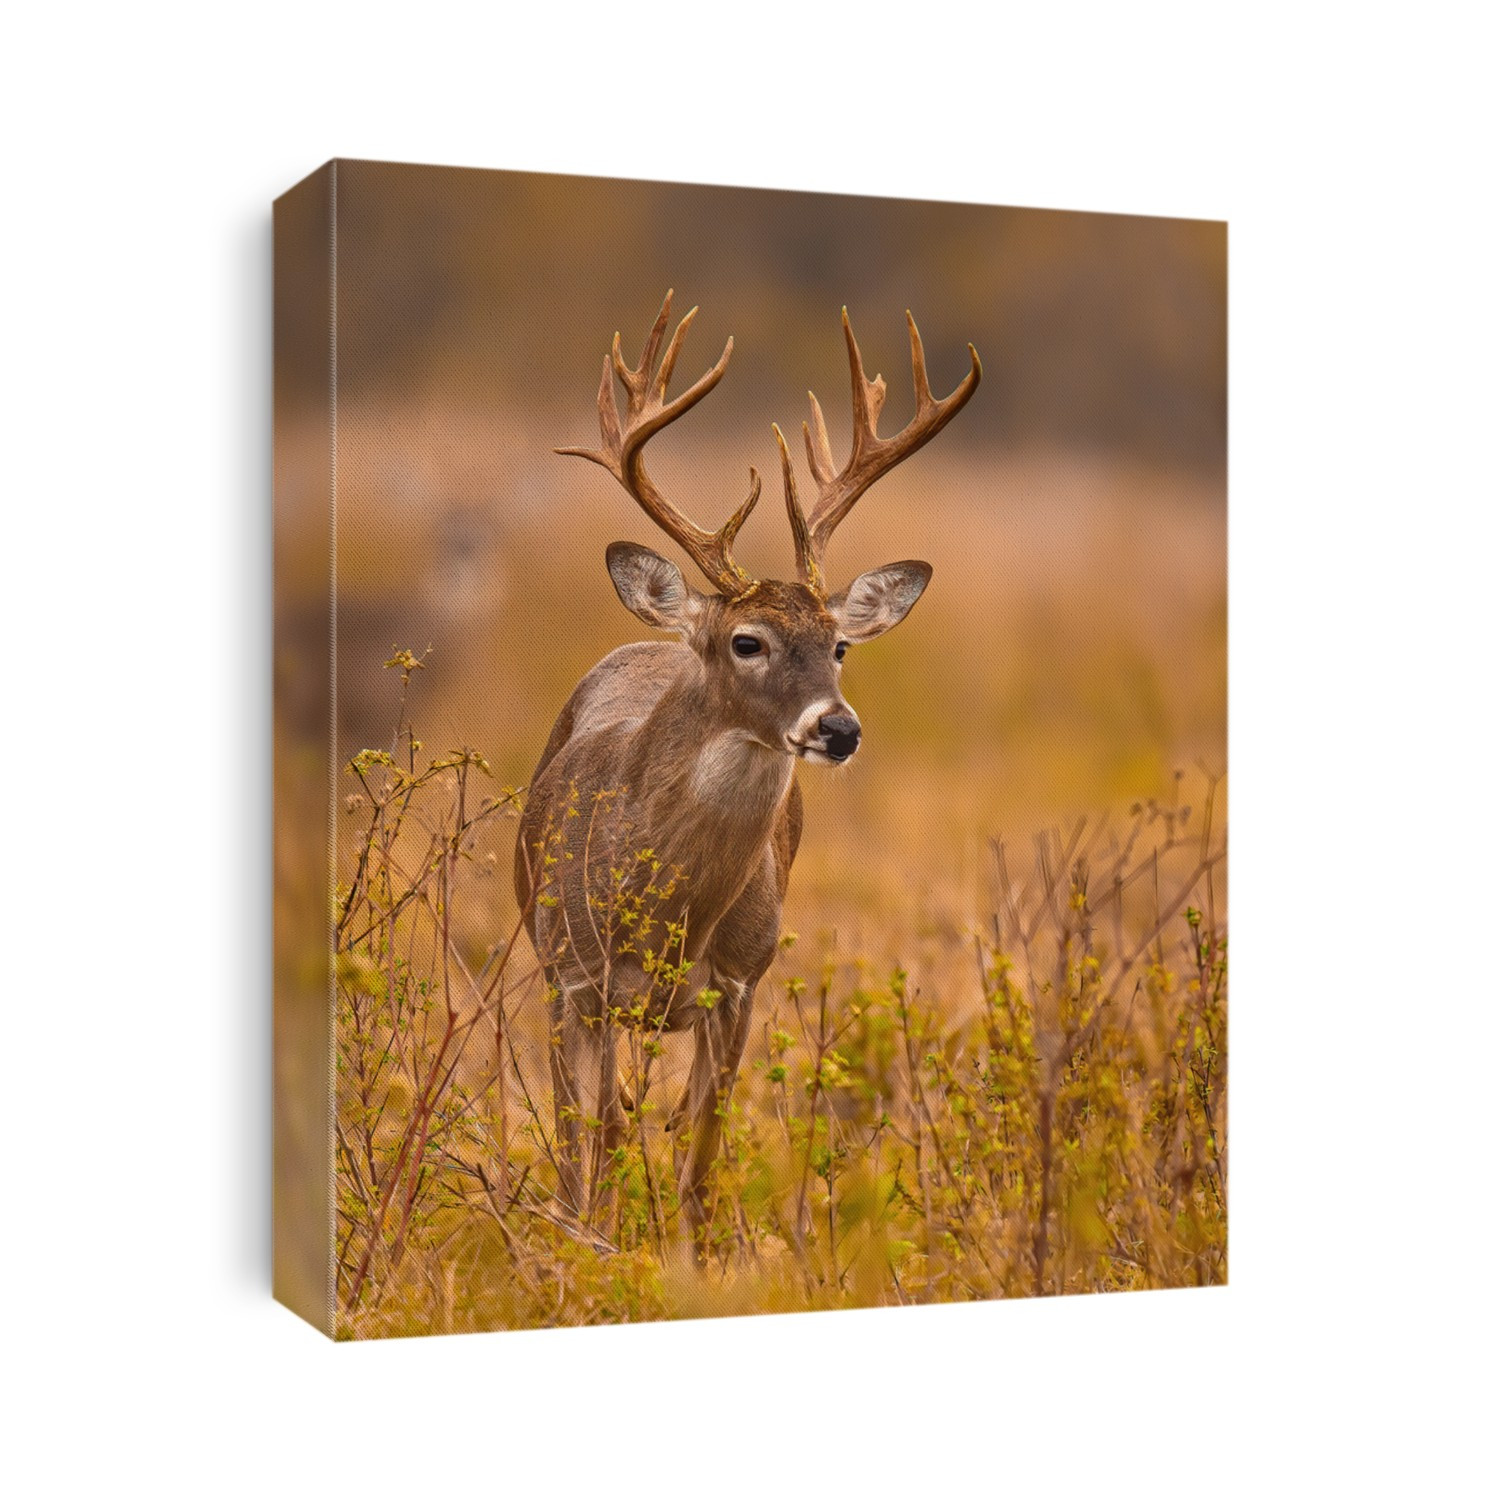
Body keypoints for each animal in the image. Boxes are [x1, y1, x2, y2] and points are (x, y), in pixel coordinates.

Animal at [514, 291, 980, 1247]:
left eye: (839, 645)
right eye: (747, 641)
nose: (838, 729)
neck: (668, 915)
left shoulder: (739, 985)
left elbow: (702, 1148)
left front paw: (692, 1257)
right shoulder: (579, 978)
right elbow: (593, 1141)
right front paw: (595, 1249)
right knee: (588, 1125)